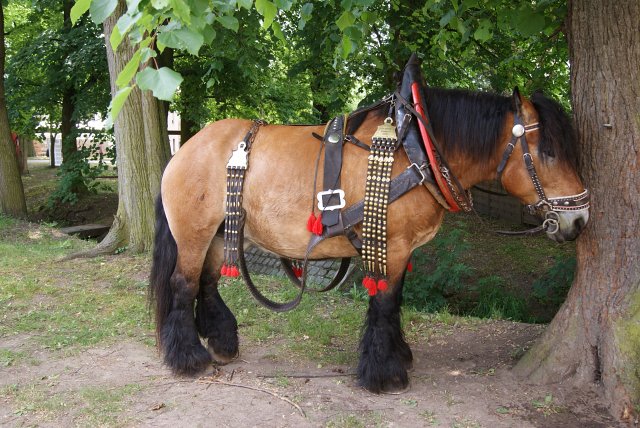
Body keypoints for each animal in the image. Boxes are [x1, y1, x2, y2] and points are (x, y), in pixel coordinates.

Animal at [149, 75, 592, 392]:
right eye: (549, 152)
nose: (579, 220)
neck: (415, 151)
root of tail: (185, 148)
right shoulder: (390, 246)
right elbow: (383, 303)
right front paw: (384, 372)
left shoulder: (403, 249)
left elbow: (394, 303)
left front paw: (398, 355)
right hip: (194, 234)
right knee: (183, 284)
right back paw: (188, 358)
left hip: (219, 234)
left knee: (207, 284)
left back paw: (220, 342)